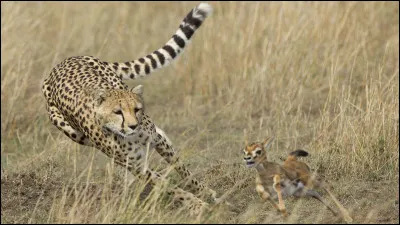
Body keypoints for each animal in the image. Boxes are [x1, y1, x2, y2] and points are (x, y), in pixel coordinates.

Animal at [42, 3, 219, 214]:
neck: (131, 136)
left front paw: (204, 192)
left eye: (136, 109)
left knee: (163, 136)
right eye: (117, 112)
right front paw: (196, 203)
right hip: (76, 135)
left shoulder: (157, 141)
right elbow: (168, 186)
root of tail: (61, 63)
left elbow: (181, 167)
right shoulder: (137, 166)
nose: (134, 125)